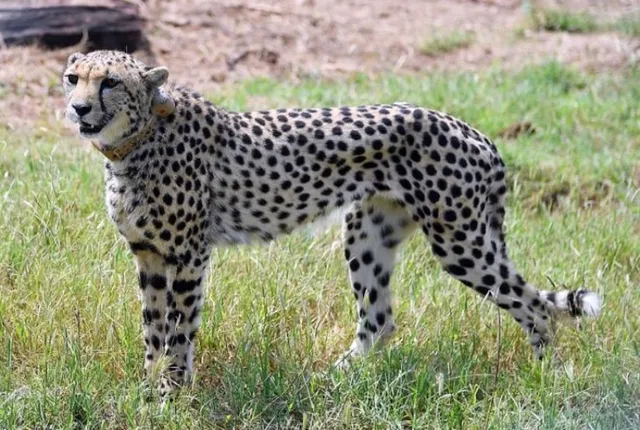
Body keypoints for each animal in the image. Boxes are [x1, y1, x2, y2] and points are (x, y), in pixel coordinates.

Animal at [62, 50, 602, 397]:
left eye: (110, 82)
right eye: (73, 77)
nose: (78, 107)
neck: (134, 141)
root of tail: (473, 130)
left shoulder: (188, 254)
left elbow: (179, 328)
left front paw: (172, 393)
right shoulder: (148, 254)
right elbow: (152, 327)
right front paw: (148, 388)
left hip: (459, 241)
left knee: (536, 306)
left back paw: (544, 379)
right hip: (368, 232)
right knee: (379, 319)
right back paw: (335, 379)